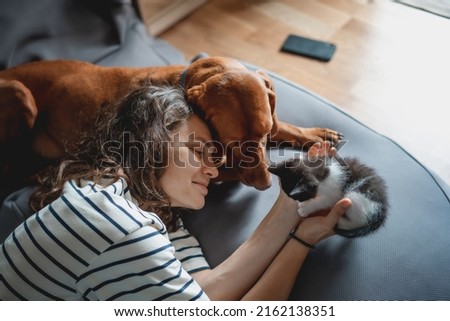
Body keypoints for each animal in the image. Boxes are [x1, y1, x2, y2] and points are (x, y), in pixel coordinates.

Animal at [0, 56, 340, 199]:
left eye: (264, 132)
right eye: (231, 141)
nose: (265, 185)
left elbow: (285, 126)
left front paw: (315, 134)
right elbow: (225, 172)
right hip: (20, 92)